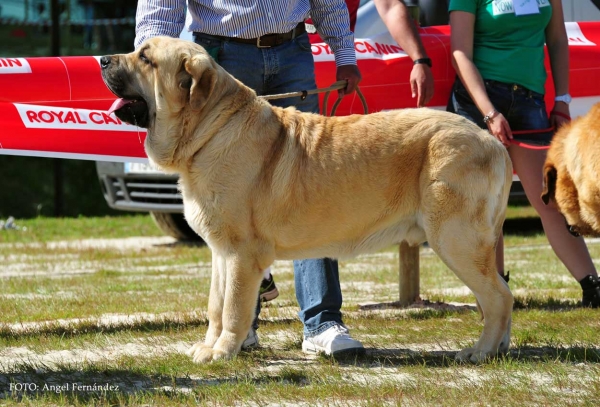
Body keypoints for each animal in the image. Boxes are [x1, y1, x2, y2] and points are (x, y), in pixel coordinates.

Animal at [101, 36, 512, 364]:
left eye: (145, 58)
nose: (102, 59)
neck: (209, 130)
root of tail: (490, 140)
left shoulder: (241, 254)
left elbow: (233, 308)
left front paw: (222, 352)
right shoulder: (221, 253)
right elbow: (216, 305)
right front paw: (209, 346)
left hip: (455, 239)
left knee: (497, 297)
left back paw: (480, 351)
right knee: (500, 292)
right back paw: (500, 347)